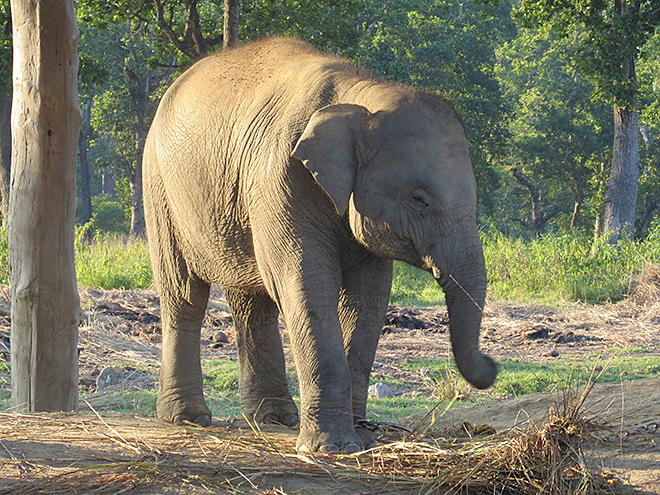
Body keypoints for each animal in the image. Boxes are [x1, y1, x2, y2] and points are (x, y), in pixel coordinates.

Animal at [143, 36, 496, 456]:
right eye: (418, 198)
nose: (492, 365)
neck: (360, 95)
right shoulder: (280, 177)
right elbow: (307, 285)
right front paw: (331, 447)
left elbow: (368, 299)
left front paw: (361, 438)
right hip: (160, 188)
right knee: (185, 294)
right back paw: (187, 418)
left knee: (251, 302)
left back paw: (274, 418)